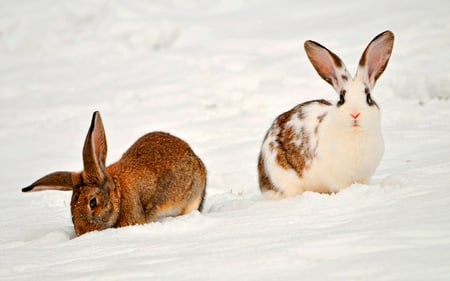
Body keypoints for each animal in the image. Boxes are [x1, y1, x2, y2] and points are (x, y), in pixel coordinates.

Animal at [256, 30, 394, 198]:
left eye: (368, 98)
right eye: (341, 99)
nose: (355, 114)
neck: (355, 135)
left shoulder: (364, 176)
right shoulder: (337, 179)